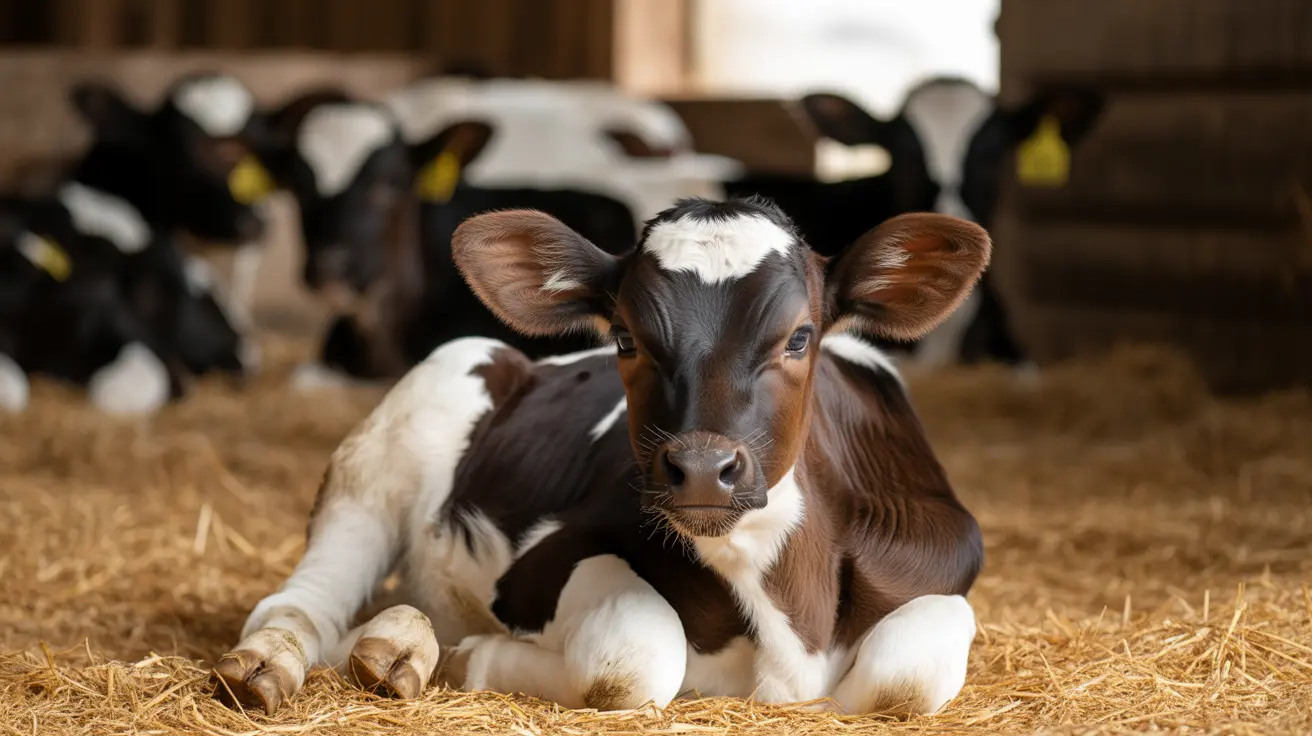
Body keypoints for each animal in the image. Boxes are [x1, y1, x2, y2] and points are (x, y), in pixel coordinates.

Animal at [212, 196, 988, 719]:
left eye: (800, 337)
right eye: (625, 337)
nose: (701, 470)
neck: (785, 615)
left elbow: (906, 675)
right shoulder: (545, 564)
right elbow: (633, 658)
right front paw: (467, 660)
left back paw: (396, 644)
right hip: (393, 441)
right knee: (301, 603)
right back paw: (277, 665)